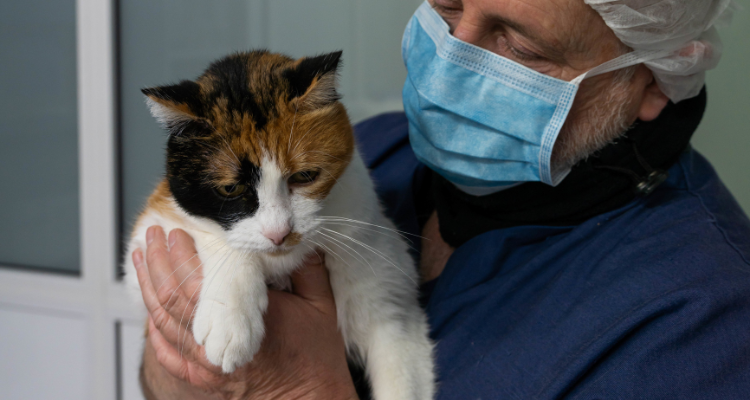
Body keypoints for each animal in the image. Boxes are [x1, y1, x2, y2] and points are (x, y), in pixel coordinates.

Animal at [126, 50, 438, 400]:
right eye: (230, 188)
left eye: (305, 176)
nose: (279, 234)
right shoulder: (149, 232)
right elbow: (214, 237)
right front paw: (229, 320)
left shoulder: (391, 302)